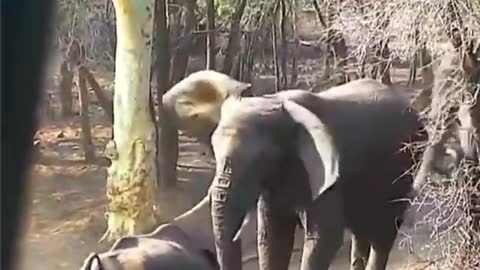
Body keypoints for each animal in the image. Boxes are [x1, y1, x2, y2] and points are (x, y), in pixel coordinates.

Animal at [208, 79, 426, 270]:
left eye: (260, 159)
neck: (276, 104)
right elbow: (273, 239)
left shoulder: (329, 174)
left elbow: (325, 237)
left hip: (405, 165)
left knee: (383, 232)